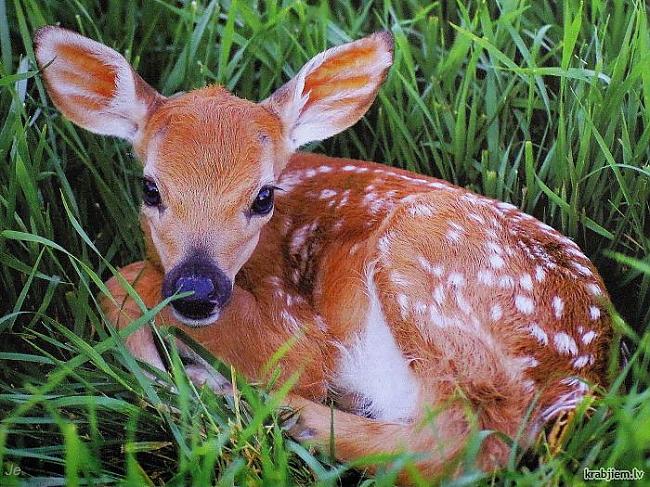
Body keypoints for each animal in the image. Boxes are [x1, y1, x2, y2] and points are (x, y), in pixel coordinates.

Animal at [36, 27, 612, 484]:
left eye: (263, 196)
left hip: (427, 264)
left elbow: (125, 279)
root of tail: (584, 376)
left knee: (465, 443)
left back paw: (259, 406)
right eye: (150, 188)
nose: (197, 290)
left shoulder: (298, 328)